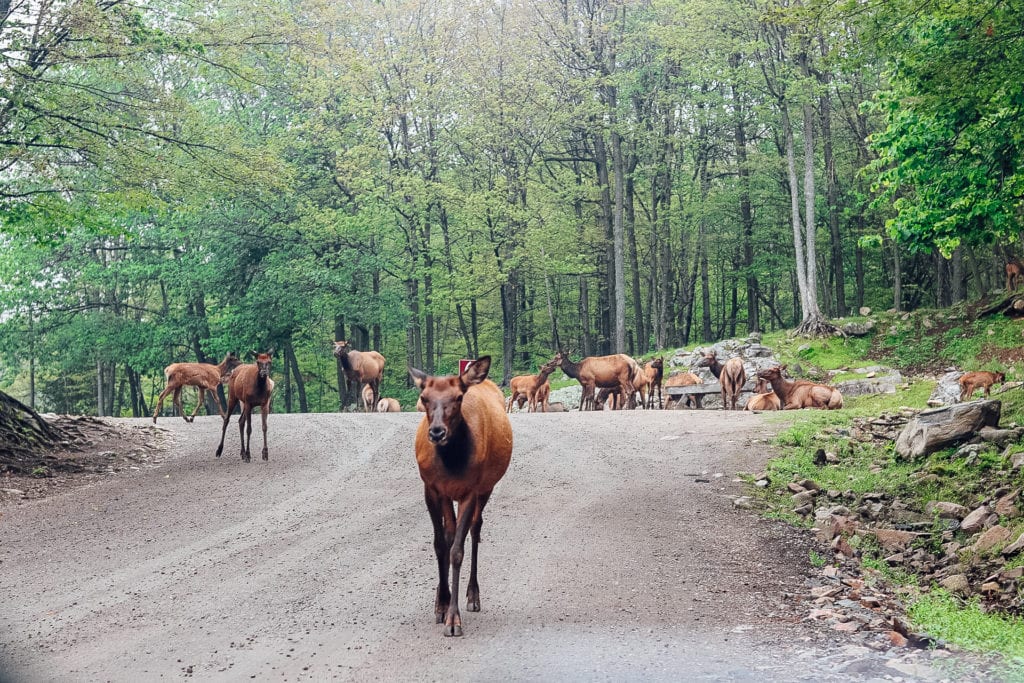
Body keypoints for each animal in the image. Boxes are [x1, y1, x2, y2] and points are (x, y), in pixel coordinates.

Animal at [409, 356, 516, 638]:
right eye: (424, 397)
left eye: (458, 397)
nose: (436, 432)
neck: (451, 464)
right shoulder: (432, 489)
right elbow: (440, 544)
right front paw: (441, 604)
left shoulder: (470, 489)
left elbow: (457, 550)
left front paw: (453, 619)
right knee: (451, 532)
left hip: (486, 488)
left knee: (475, 530)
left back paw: (473, 595)